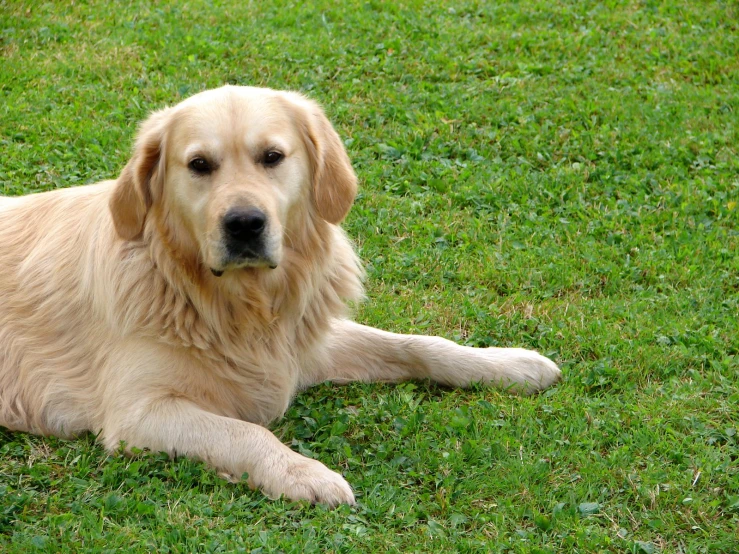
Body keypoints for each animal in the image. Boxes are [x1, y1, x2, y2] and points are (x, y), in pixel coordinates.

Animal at [0, 86, 560, 504]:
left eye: (272, 157)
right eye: (199, 164)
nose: (245, 224)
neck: (236, 303)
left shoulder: (301, 345)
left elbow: (419, 345)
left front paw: (509, 364)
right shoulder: (138, 413)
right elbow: (246, 433)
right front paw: (302, 473)